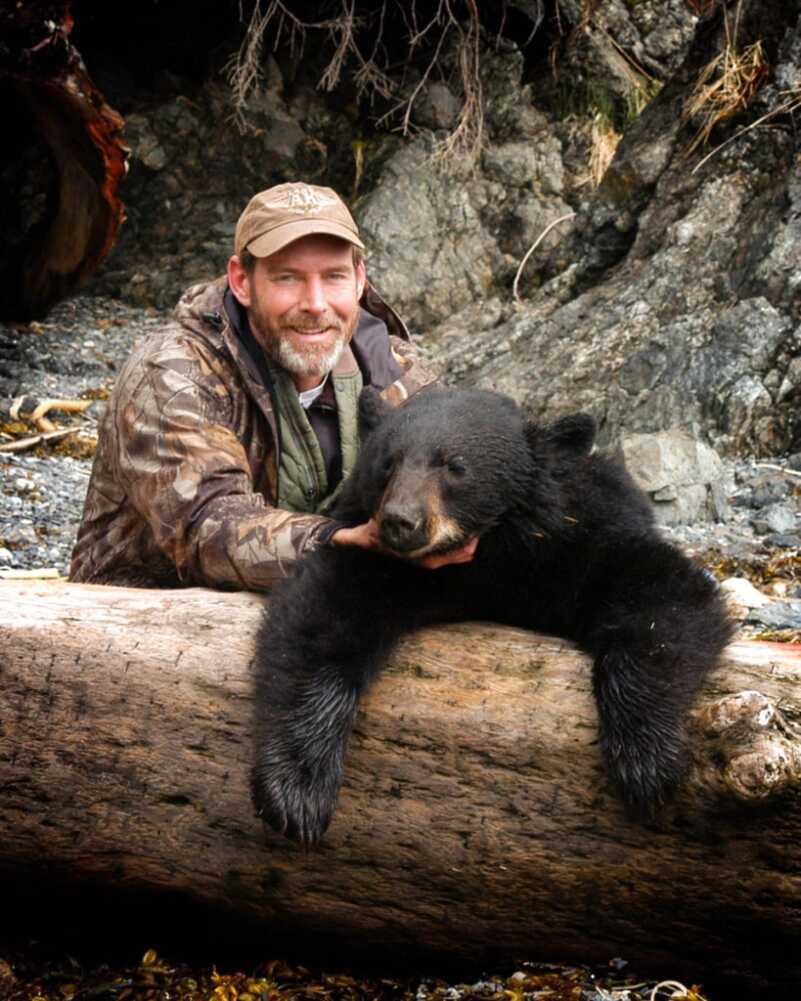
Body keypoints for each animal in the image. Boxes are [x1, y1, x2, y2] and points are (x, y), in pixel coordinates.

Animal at [251, 384, 733, 846]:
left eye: (454, 466)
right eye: (388, 463)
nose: (399, 521)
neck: (484, 560)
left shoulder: (576, 543)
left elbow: (663, 591)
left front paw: (647, 759)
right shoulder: (378, 560)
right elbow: (321, 616)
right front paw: (296, 791)